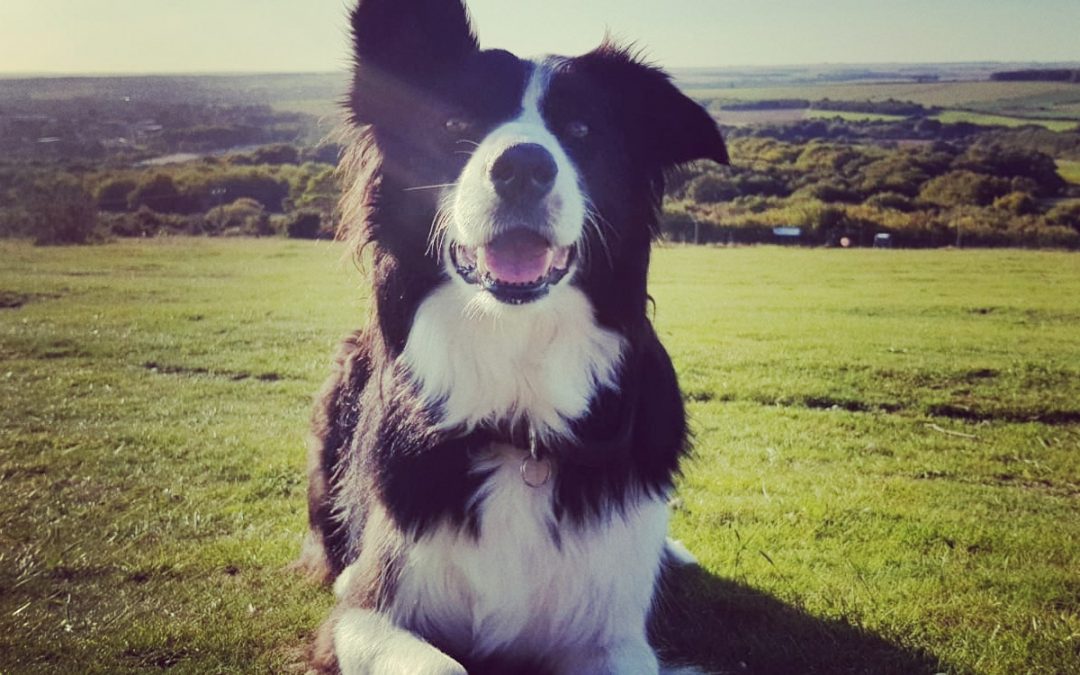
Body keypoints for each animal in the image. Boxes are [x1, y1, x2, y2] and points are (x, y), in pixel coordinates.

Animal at [300, 2, 730, 669]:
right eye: (456, 122)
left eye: (581, 130)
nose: (523, 166)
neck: (516, 423)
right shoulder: (362, 613)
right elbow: (436, 661)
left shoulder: (611, 635)